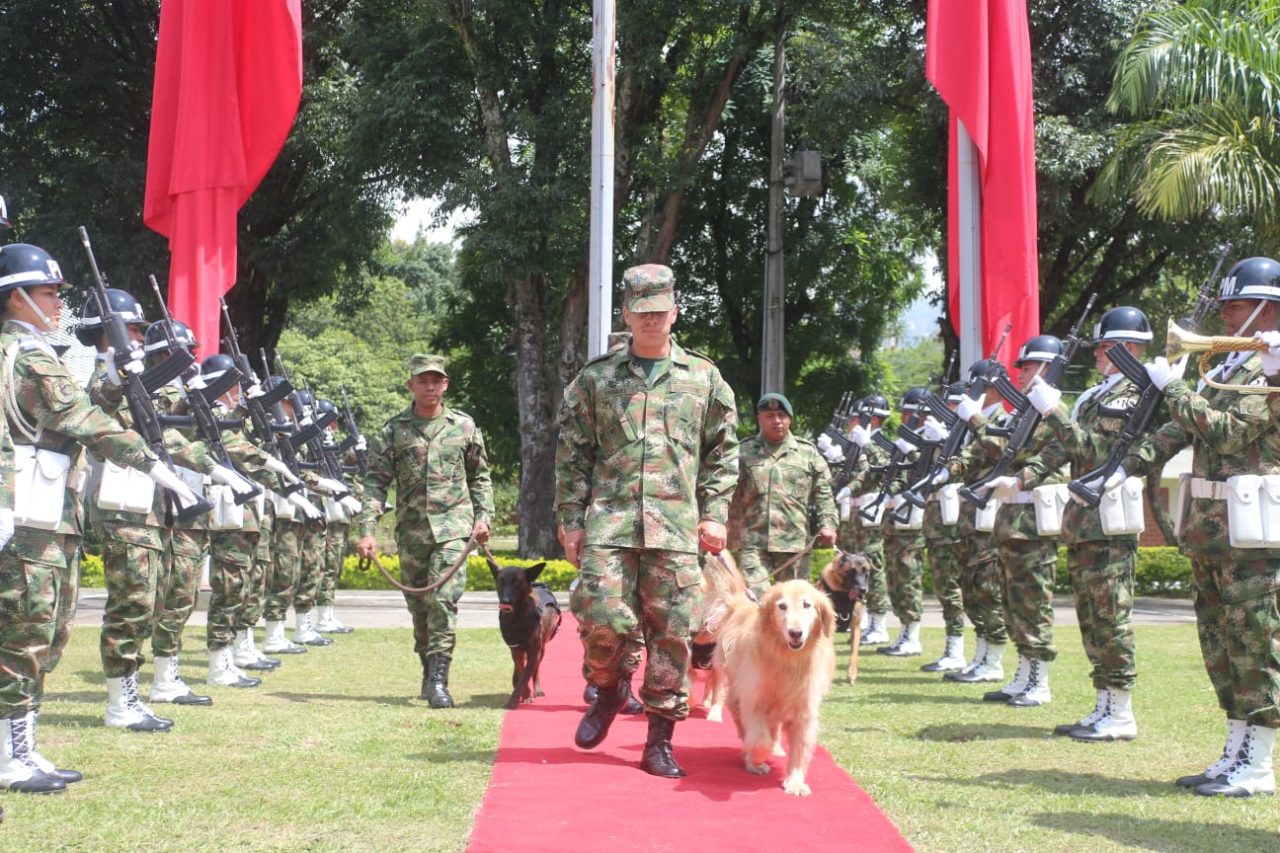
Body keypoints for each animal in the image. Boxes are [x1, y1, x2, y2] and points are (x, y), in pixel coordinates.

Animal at [486, 555, 558, 706]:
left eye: (517, 582)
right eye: (501, 581)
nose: (505, 601)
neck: (517, 618)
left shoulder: (533, 651)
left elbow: (526, 674)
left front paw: (519, 697)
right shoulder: (516, 649)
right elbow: (521, 672)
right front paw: (524, 694)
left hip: (541, 650)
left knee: (536, 670)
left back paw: (537, 689)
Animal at [819, 550, 870, 686]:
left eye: (866, 571)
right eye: (851, 571)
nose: (863, 590)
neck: (843, 593)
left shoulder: (856, 628)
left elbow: (854, 653)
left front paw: (851, 674)